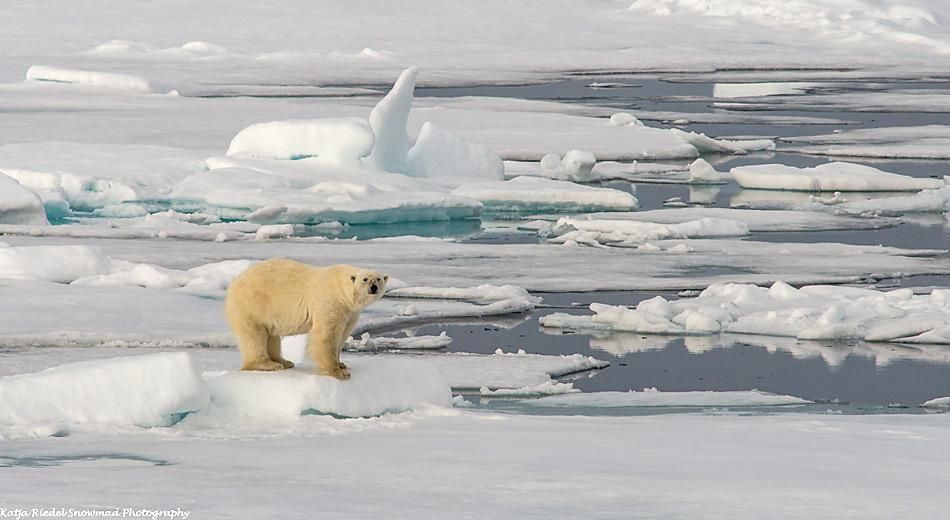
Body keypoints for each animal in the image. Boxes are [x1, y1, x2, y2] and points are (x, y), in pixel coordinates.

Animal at [225, 258, 388, 378]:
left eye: (379, 279)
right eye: (365, 279)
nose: (373, 287)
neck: (342, 290)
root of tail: (234, 283)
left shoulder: (350, 312)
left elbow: (342, 335)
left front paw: (341, 363)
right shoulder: (331, 301)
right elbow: (326, 335)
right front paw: (338, 371)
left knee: (271, 335)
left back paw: (284, 361)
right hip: (253, 304)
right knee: (254, 335)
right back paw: (268, 364)